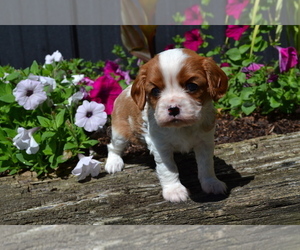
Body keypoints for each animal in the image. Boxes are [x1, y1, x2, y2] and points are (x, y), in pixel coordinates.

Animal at [105, 47, 227, 202]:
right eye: (155, 91)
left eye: (192, 86)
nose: (173, 108)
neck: (182, 127)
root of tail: (124, 91)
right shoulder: (160, 146)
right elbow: (168, 168)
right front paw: (174, 191)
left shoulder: (205, 142)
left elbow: (206, 165)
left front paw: (211, 183)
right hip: (120, 131)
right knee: (113, 147)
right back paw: (113, 163)